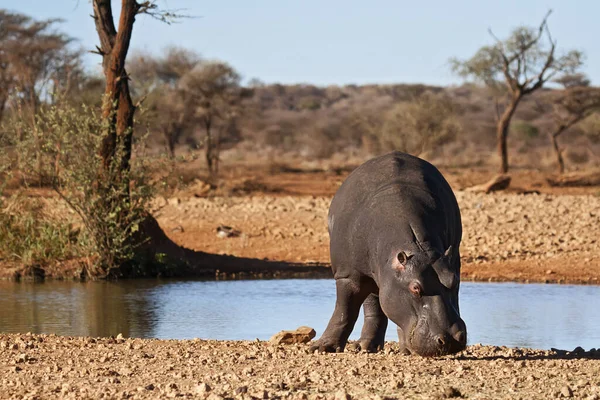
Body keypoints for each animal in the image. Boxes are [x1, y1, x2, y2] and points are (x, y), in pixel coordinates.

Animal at [312, 151, 466, 356]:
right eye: (415, 288)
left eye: (454, 281)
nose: (452, 340)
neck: (418, 248)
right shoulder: (347, 274)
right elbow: (344, 311)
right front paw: (323, 348)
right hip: (368, 274)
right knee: (372, 303)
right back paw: (365, 346)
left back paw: (399, 348)